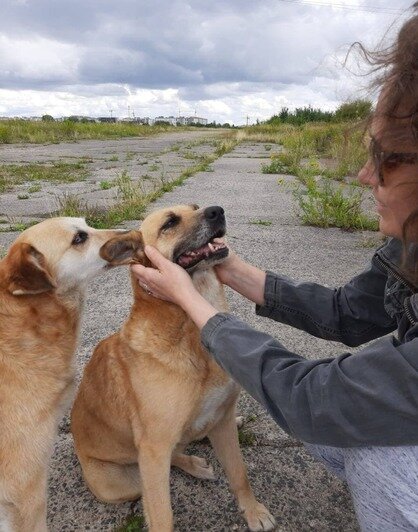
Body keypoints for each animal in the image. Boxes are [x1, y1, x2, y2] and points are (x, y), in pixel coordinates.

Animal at [70, 205, 276, 532]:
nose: (217, 210)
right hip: (125, 483)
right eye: (169, 223)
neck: (188, 329)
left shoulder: (223, 423)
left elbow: (239, 472)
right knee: (171, 459)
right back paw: (193, 462)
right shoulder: (154, 450)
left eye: (195, 207)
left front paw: (253, 511)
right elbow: (163, 516)